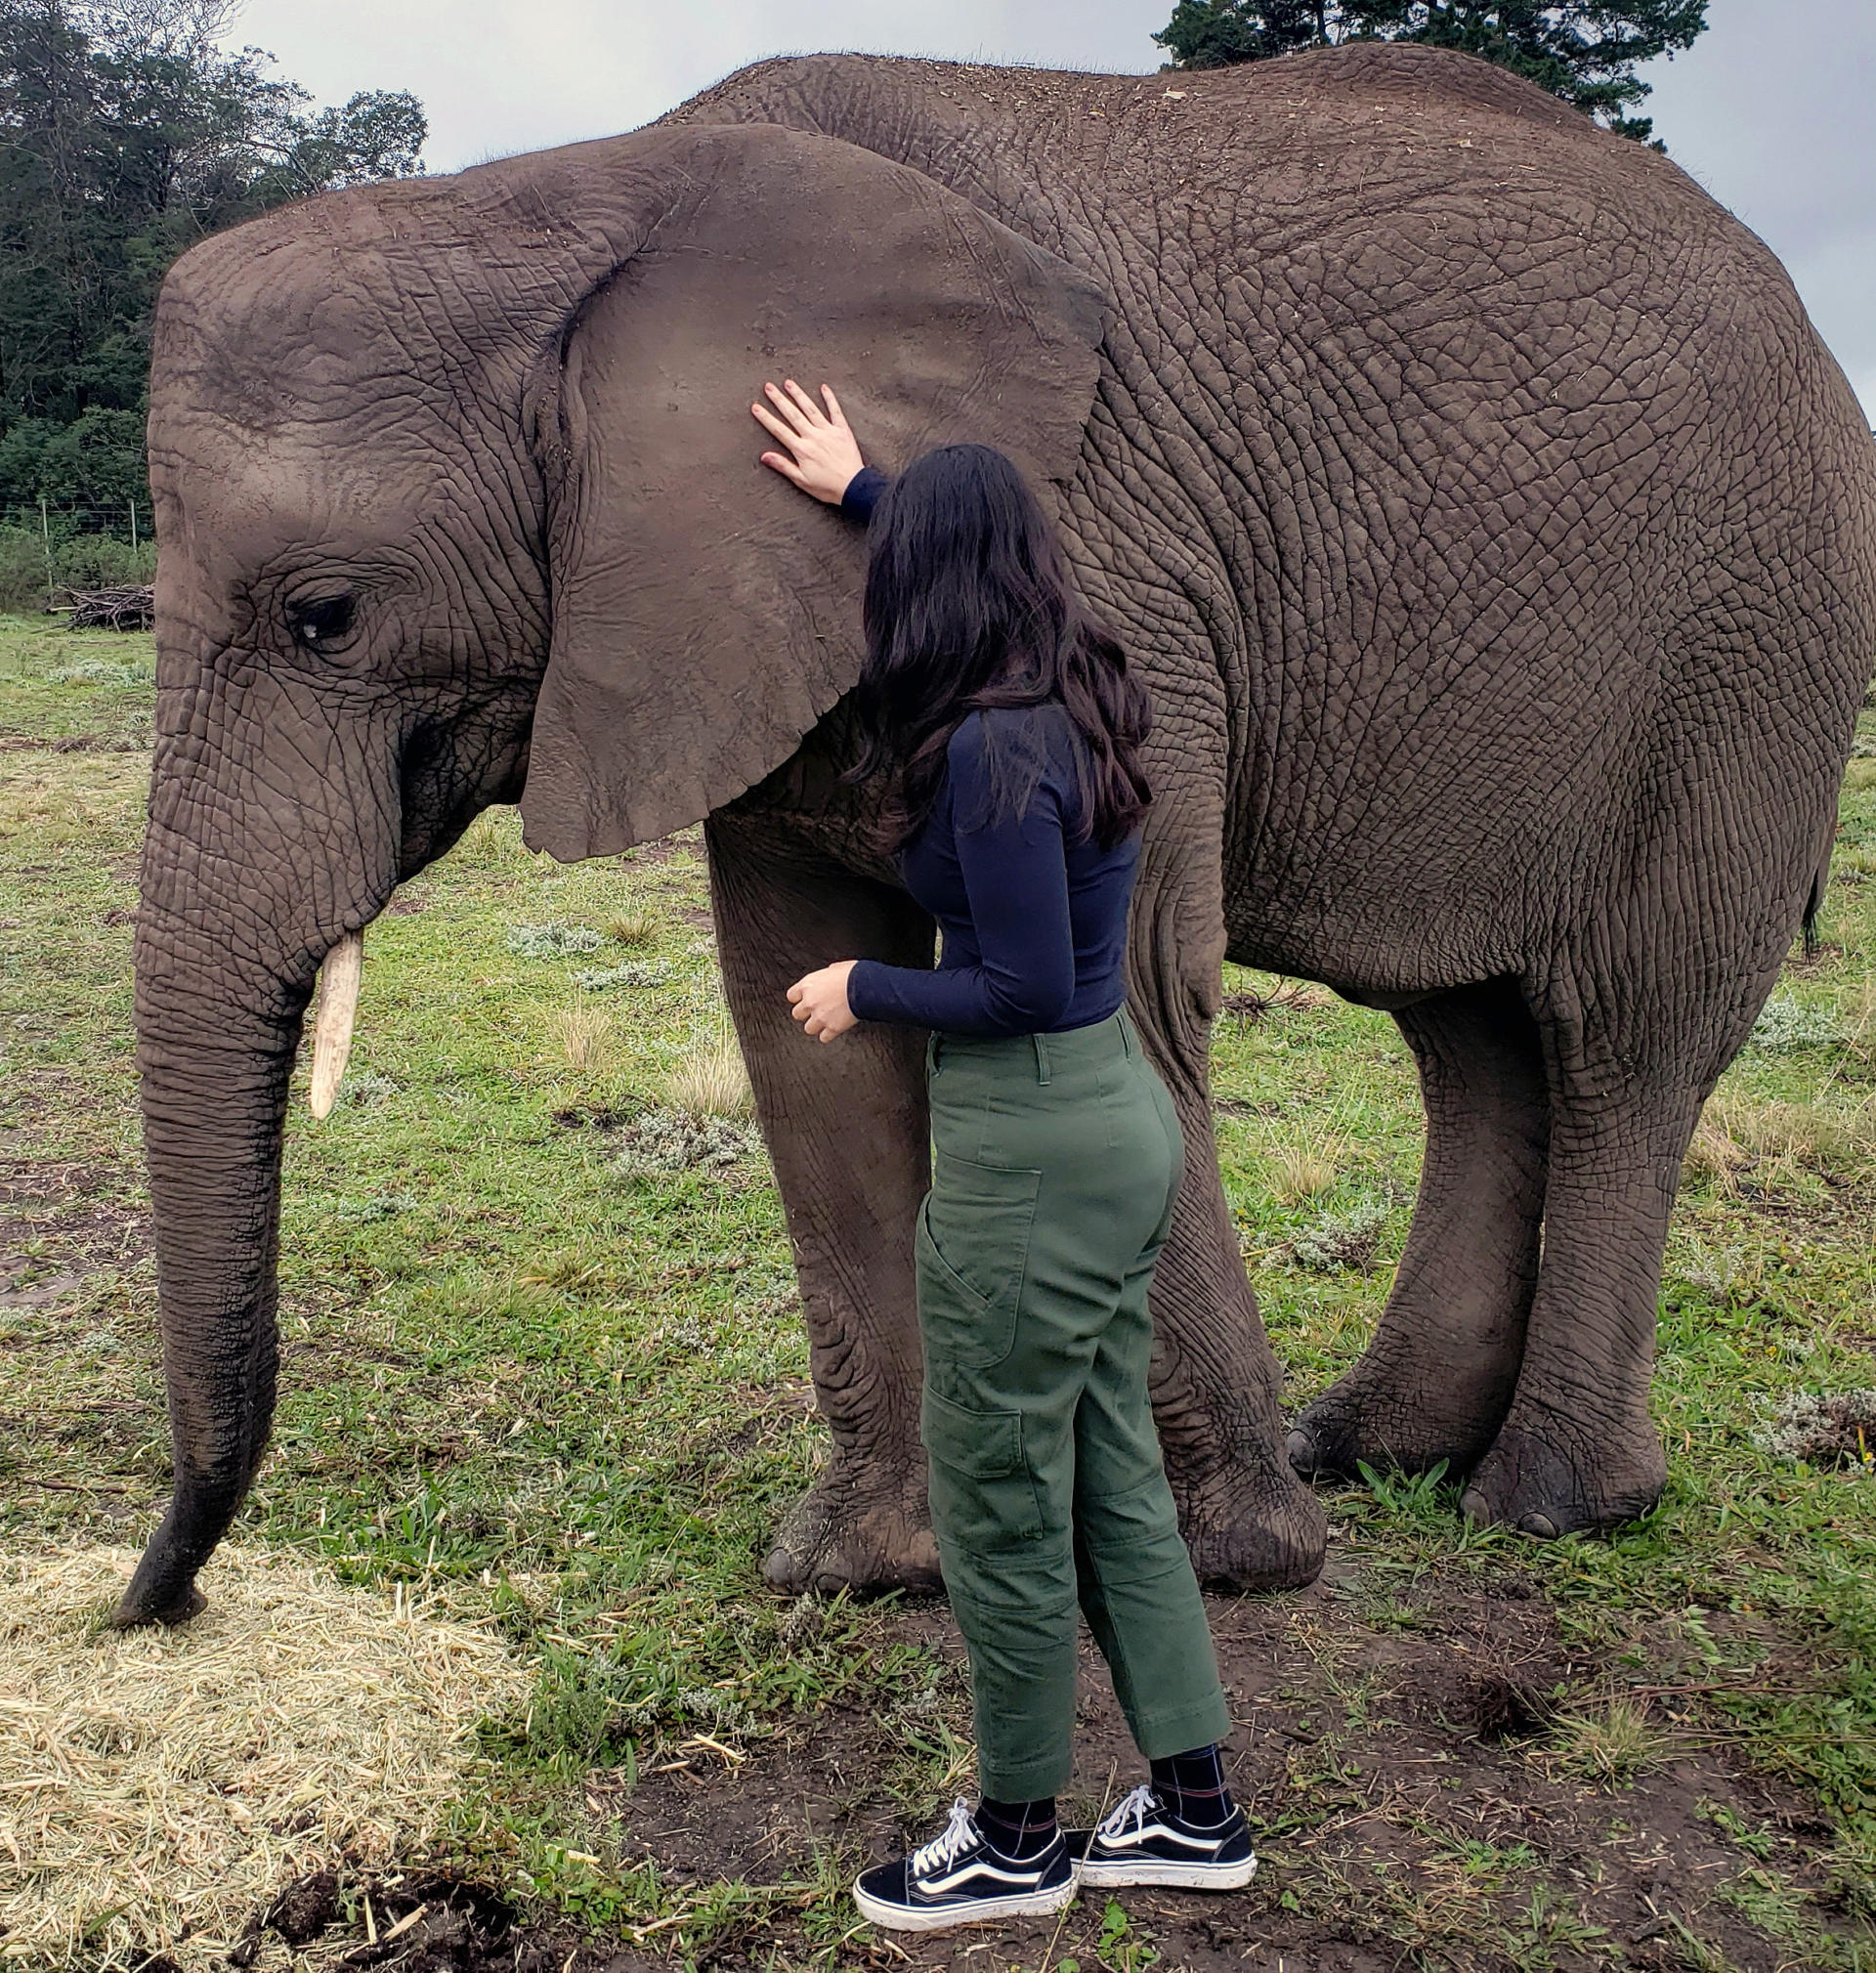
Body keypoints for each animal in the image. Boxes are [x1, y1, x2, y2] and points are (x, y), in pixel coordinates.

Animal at [117, 38, 1876, 1625]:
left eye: (327, 615)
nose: (160, 1597)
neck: (577, 198)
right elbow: (806, 1024)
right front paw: (867, 1569)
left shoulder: (1096, 569)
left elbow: (1130, 989)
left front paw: (1224, 1560)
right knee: (1471, 1036)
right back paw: (1380, 1449)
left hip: (1750, 665)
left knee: (1624, 1041)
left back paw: (1549, 1505)